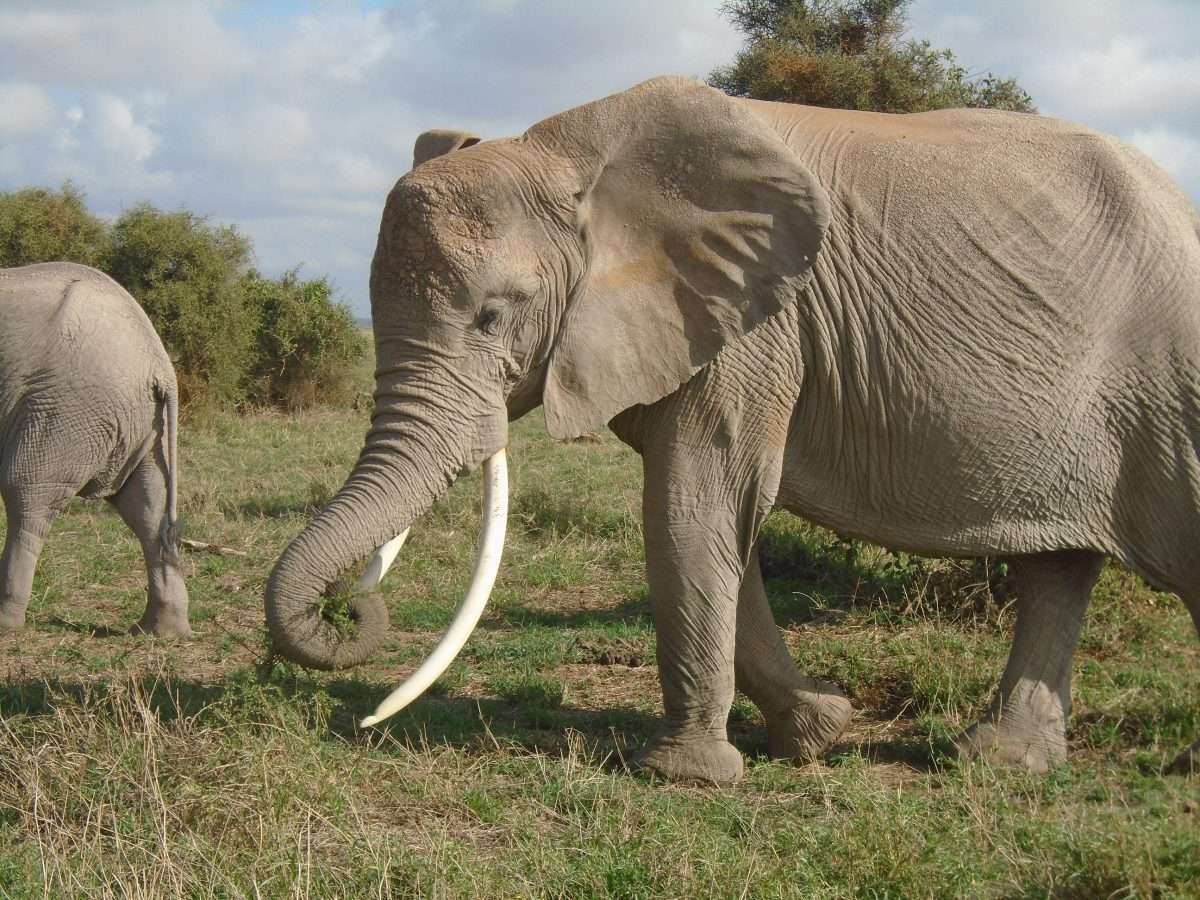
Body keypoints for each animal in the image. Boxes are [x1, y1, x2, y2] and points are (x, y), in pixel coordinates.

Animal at [0, 262, 190, 638]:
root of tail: (159, 366)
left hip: (65, 410)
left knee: (27, 496)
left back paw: (5, 622)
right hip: (143, 425)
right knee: (147, 508)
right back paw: (159, 631)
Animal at [264, 76, 1200, 784]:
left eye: (498, 315)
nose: (354, 609)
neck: (567, 150)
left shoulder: (758, 326)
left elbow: (694, 499)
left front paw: (686, 778)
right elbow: (710, 519)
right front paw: (818, 731)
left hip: (1172, 383)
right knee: (1059, 568)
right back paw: (998, 764)